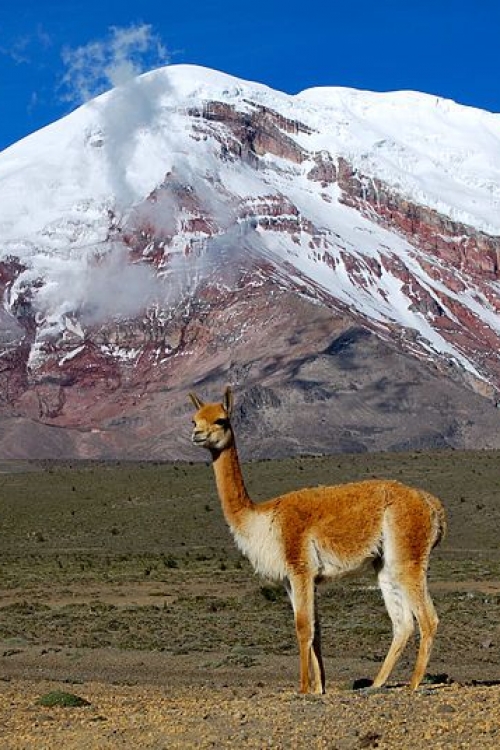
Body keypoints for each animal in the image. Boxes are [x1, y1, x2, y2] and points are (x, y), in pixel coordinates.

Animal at [189, 386, 446, 694]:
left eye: (221, 420)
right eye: (194, 420)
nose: (197, 435)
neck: (260, 519)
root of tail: (431, 503)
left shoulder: (300, 567)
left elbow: (302, 627)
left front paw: (302, 688)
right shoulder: (293, 579)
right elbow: (315, 628)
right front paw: (318, 687)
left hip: (407, 555)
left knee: (428, 619)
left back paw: (413, 684)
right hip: (386, 566)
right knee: (403, 623)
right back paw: (376, 683)